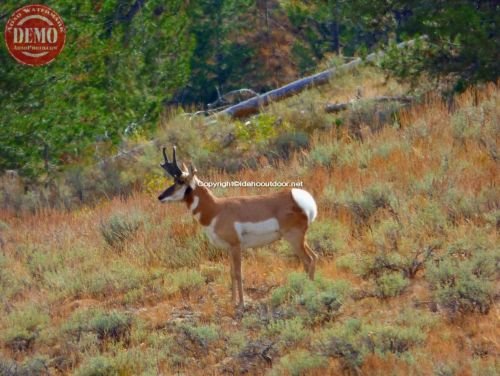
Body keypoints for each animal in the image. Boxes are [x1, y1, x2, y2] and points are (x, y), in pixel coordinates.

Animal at [158, 147, 318, 308]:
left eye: (180, 181)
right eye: (174, 180)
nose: (160, 197)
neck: (217, 209)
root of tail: (299, 199)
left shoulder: (236, 246)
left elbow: (238, 272)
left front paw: (241, 303)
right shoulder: (229, 248)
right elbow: (231, 272)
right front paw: (232, 301)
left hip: (294, 238)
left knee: (308, 260)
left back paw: (307, 291)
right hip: (300, 239)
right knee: (314, 257)